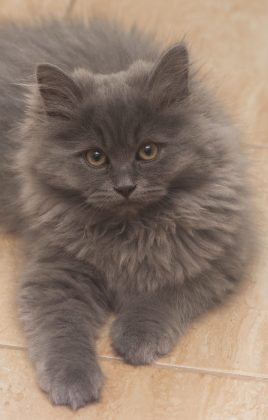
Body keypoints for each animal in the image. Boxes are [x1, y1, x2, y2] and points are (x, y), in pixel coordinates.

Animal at [0, 18, 253, 408]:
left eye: (148, 151)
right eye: (95, 157)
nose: (124, 187)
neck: (131, 231)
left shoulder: (217, 252)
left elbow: (165, 292)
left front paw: (137, 336)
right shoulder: (56, 268)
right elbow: (62, 329)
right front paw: (72, 380)